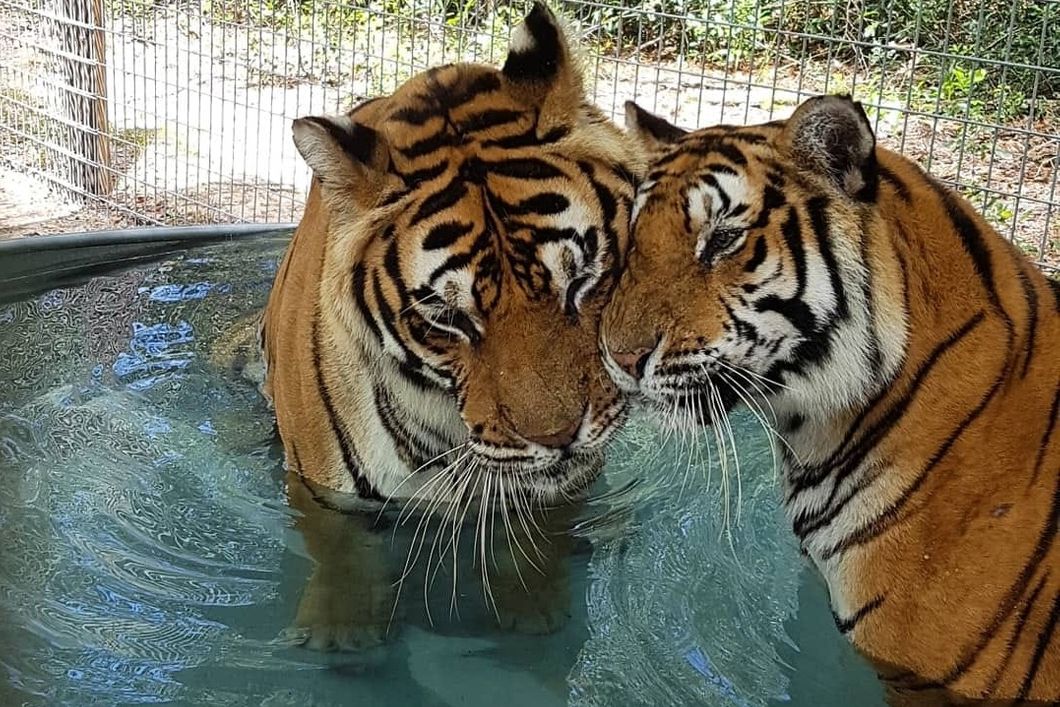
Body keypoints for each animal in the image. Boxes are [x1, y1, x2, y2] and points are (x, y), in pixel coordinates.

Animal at [258, 2, 645, 651]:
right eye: (448, 318)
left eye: (583, 278)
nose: (560, 438)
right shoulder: (325, 492)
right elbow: (339, 549)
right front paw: (342, 632)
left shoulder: (567, 483)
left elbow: (540, 533)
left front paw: (533, 608)